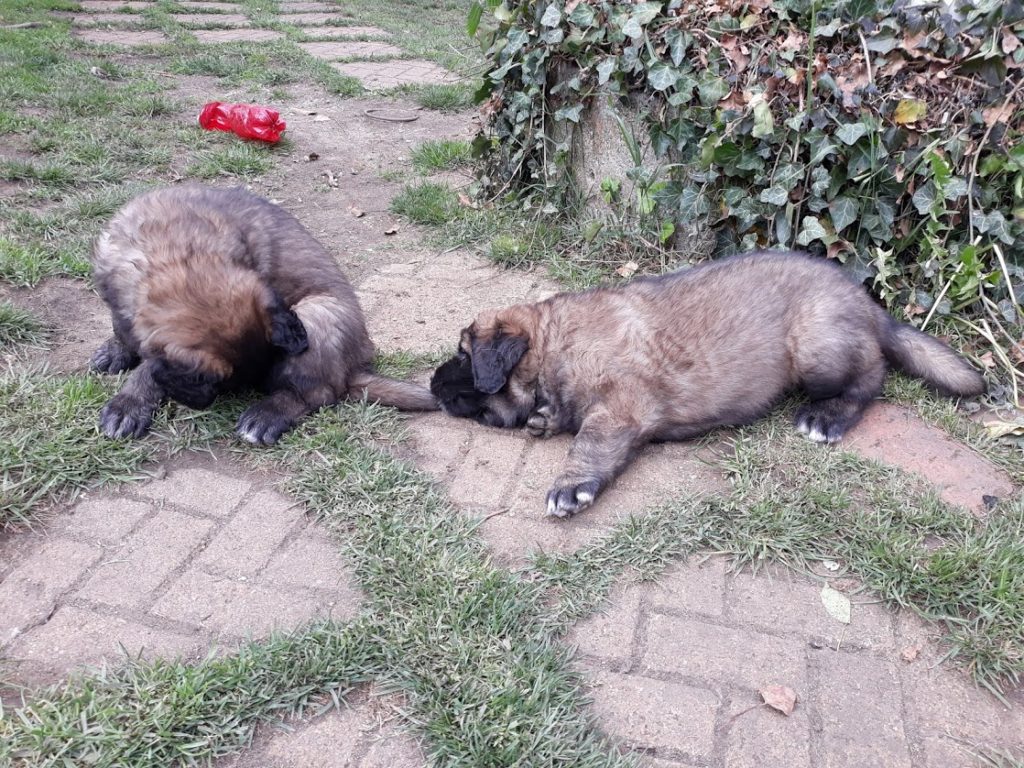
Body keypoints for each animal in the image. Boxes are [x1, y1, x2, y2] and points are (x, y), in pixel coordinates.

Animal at [90, 184, 436, 444]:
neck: (173, 252)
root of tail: (356, 365)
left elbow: (149, 366)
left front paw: (128, 403)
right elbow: (123, 329)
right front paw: (116, 353)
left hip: (317, 314)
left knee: (320, 394)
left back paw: (266, 417)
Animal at [430, 250, 986, 517]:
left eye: (462, 354)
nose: (432, 384)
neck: (554, 344)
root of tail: (866, 302)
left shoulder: (622, 407)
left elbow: (591, 441)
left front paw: (571, 487)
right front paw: (546, 419)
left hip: (816, 347)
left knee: (871, 376)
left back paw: (825, 418)